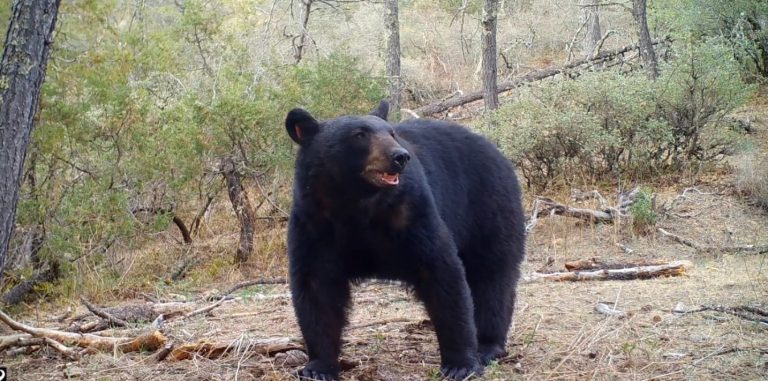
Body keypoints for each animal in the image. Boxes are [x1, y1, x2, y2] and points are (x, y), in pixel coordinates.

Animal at [284, 101, 524, 380]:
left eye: (391, 133)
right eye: (359, 134)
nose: (400, 156)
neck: (356, 204)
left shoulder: (412, 212)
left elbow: (442, 273)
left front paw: (460, 364)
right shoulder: (314, 223)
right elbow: (316, 288)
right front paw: (318, 367)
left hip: (489, 207)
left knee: (492, 277)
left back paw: (487, 345)